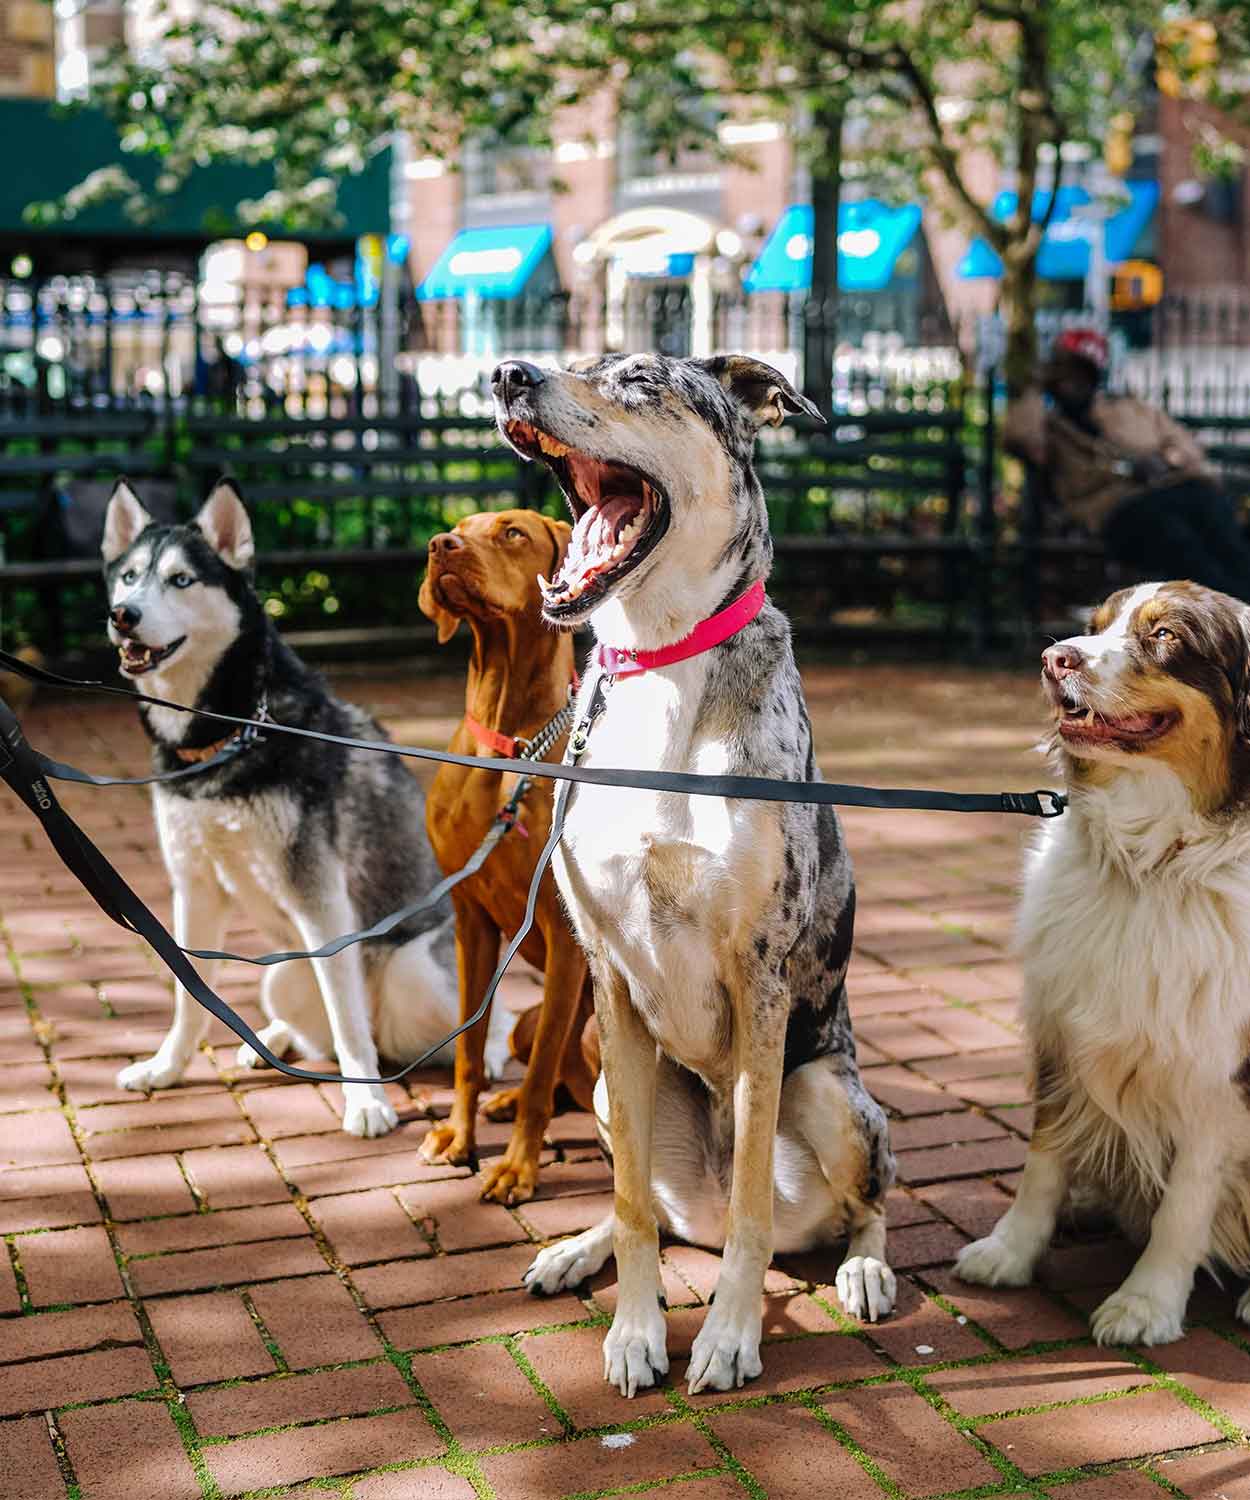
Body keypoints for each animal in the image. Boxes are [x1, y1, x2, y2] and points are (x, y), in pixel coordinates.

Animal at [417, 510, 591, 1200]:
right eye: (457, 527)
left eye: (512, 532)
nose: (440, 546)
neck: (508, 747)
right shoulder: (470, 919)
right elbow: (468, 1052)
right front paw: (458, 1137)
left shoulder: (566, 938)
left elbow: (543, 1076)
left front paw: (518, 1166)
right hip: (525, 1019)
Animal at [492, 351, 894, 1392]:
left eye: (639, 379)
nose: (508, 373)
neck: (661, 663)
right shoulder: (608, 975)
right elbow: (634, 1205)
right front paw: (637, 1332)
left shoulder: (759, 979)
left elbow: (753, 1201)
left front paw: (728, 1337)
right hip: (604, 1083)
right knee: (659, 1209)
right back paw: (575, 1250)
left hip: (830, 1094)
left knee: (863, 1203)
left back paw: (865, 1269)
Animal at [960, 579, 1250, 1344]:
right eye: (1094, 625)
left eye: (1167, 635)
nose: (1054, 658)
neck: (1154, 866)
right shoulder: (1064, 1028)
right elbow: (1043, 1159)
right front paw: (1010, 1250)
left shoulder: (1218, 1078)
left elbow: (1187, 1202)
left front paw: (1147, 1302)